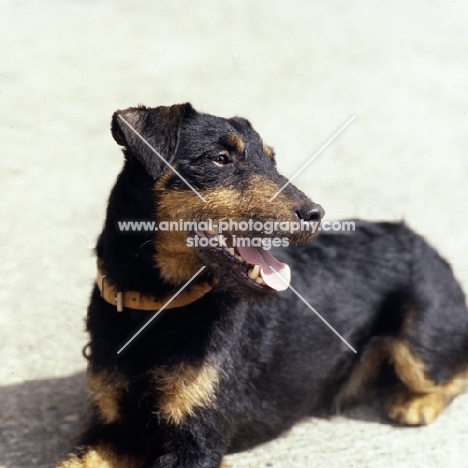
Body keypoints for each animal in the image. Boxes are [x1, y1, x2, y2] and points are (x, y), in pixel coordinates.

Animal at [57, 104, 468, 466]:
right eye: (220, 158)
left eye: (271, 160)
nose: (315, 213)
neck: (160, 307)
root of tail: (419, 239)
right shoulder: (112, 431)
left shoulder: (196, 441)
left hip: (420, 344)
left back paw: (414, 404)